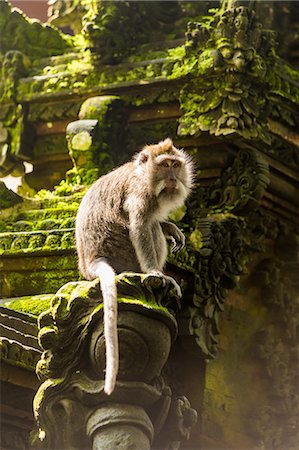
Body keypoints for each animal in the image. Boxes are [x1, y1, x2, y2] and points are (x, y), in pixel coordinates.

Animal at [75, 137, 195, 394]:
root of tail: (91, 261)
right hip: (121, 250)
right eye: (165, 165)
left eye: (175, 165)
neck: (144, 175)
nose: (173, 178)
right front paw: (154, 272)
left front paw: (172, 229)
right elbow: (140, 226)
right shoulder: (140, 193)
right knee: (149, 228)